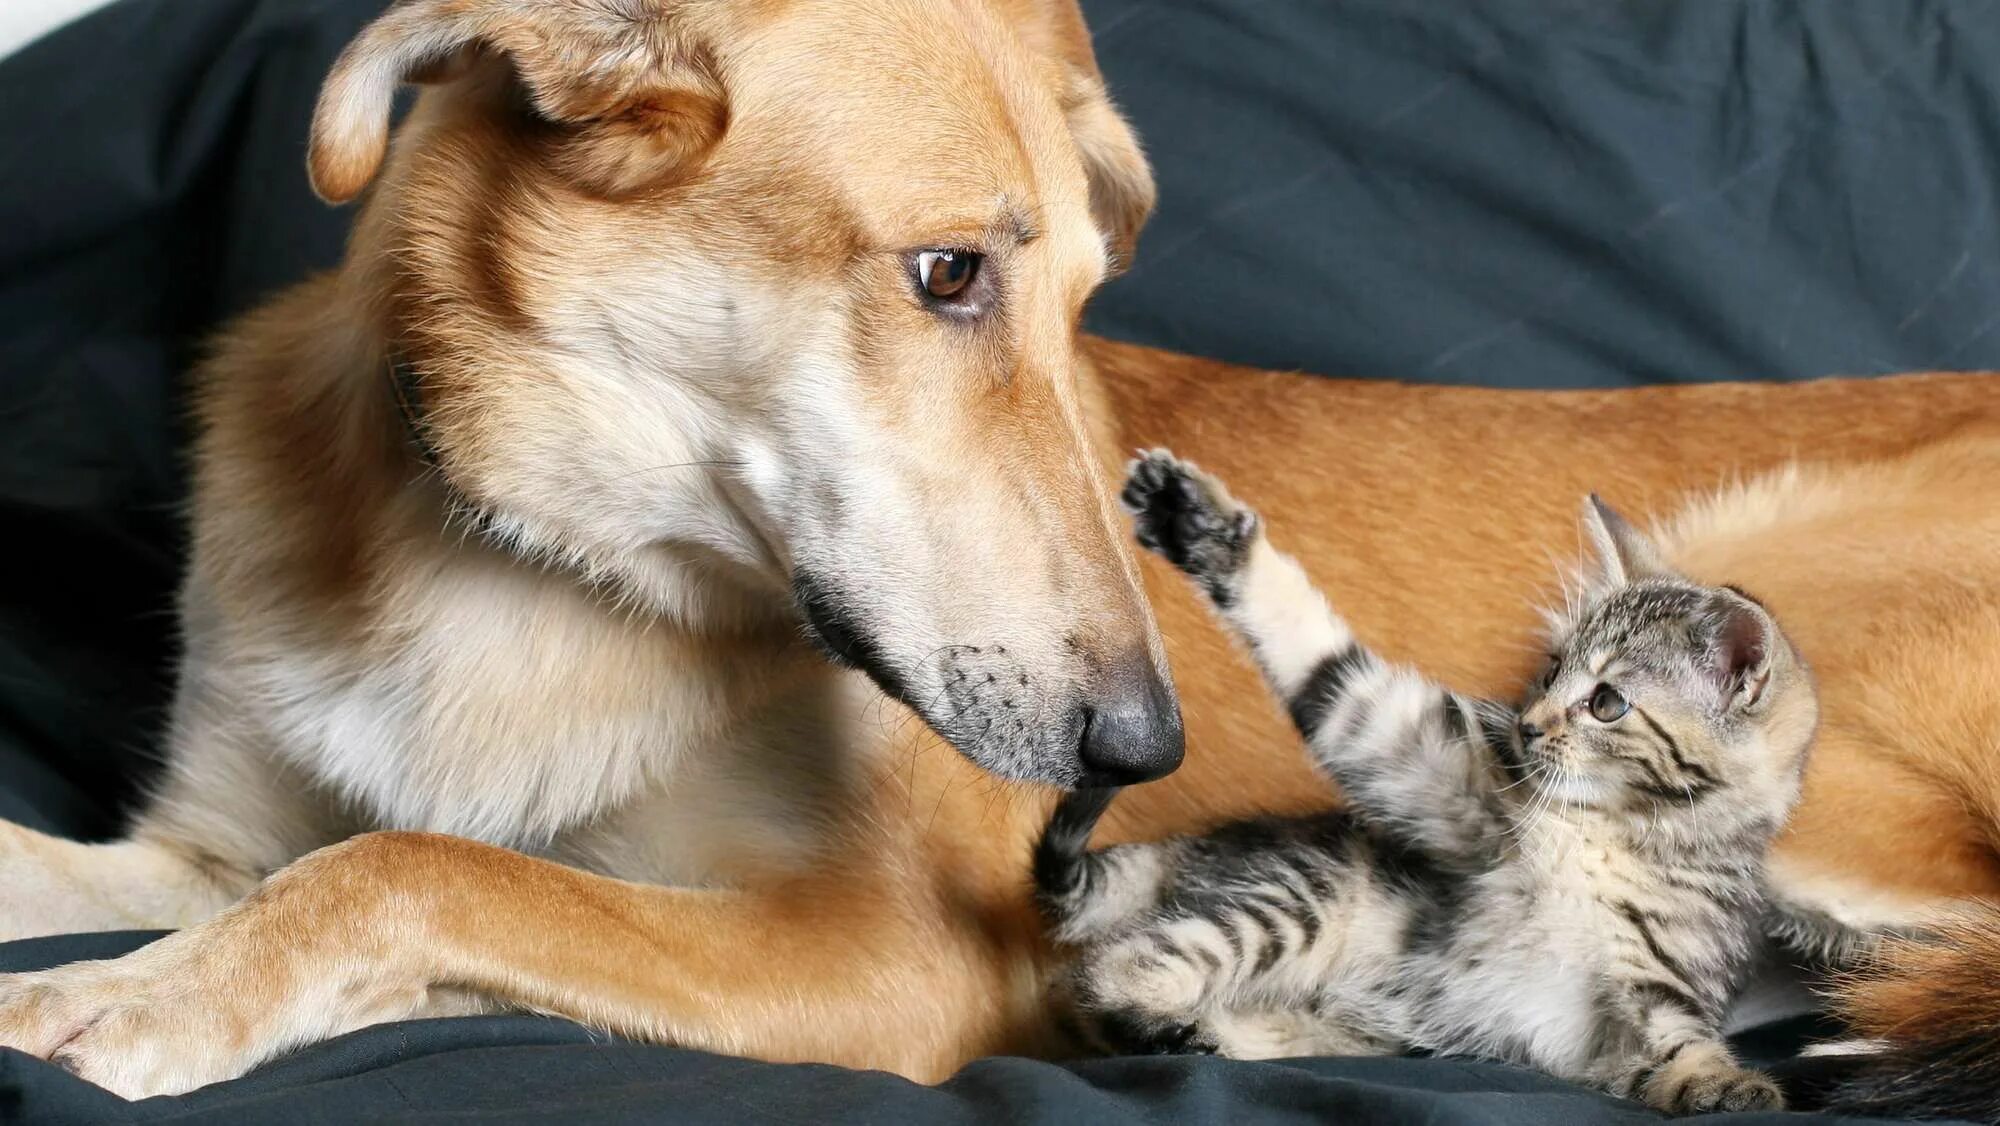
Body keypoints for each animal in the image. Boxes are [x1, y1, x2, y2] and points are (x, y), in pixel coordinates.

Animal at [1040, 452, 1824, 1120]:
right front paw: (1207, 531)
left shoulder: (1655, 989)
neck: (1612, 833)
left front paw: (1721, 1082)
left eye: (1606, 703)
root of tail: (1201, 846)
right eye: (1551, 671)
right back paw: (1155, 1015)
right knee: (1110, 969)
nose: (1526, 726)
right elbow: (1333, 672)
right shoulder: (1439, 778)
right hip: (1308, 898)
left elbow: (1672, 1041)